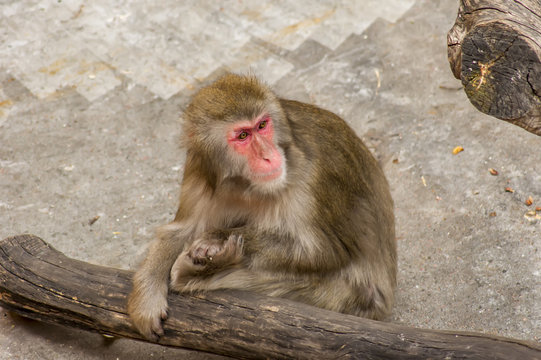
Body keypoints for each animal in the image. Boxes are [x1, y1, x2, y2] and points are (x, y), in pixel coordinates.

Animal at [127, 74, 396, 340]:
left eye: (262, 125)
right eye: (243, 136)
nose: (268, 155)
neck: (245, 184)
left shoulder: (315, 174)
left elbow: (322, 252)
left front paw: (214, 239)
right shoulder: (199, 170)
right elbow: (179, 232)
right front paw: (146, 299)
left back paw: (194, 272)